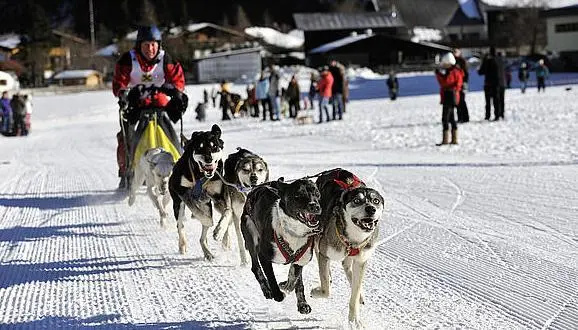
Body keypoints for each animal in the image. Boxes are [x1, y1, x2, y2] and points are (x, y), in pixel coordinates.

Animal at [166, 124, 225, 260]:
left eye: (214, 146)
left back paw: (207, 251)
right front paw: (208, 221)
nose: (208, 158)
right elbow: (196, 210)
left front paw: (219, 231)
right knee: (180, 225)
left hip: (207, 205)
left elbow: (227, 212)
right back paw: (182, 245)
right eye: (200, 147)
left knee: (202, 238)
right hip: (178, 204)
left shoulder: (217, 196)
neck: (200, 175)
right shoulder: (182, 192)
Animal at [238, 179, 320, 314]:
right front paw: (278, 294)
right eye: (298, 195)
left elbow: (295, 280)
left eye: (316, 193)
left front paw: (301, 302)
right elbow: (271, 277)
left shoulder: (300, 260)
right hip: (251, 236)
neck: (295, 232)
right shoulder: (264, 256)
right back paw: (267, 290)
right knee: (256, 268)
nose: (315, 206)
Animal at [308, 169, 384, 326]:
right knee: (321, 258)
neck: (354, 239)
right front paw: (316, 291)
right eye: (357, 201)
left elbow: (354, 295)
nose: (371, 209)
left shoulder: (361, 260)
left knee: (347, 267)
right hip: (317, 235)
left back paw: (360, 293)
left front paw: (354, 320)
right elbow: (326, 289)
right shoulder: (325, 253)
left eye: (376, 201)